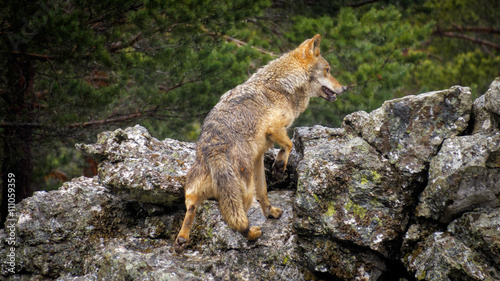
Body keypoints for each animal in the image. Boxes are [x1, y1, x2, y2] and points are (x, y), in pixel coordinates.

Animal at [174, 34, 346, 250]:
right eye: (327, 70)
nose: (344, 88)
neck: (283, 85)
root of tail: (215, 152)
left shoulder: (257, 157)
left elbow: (263, 190)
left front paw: (270, 212)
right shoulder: (274, 128)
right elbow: (289, 145)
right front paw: (280, 167)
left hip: (194, 193)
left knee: (191, 209)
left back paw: (182, 239)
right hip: (243, 196)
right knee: (235, 223)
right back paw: (252, 234)